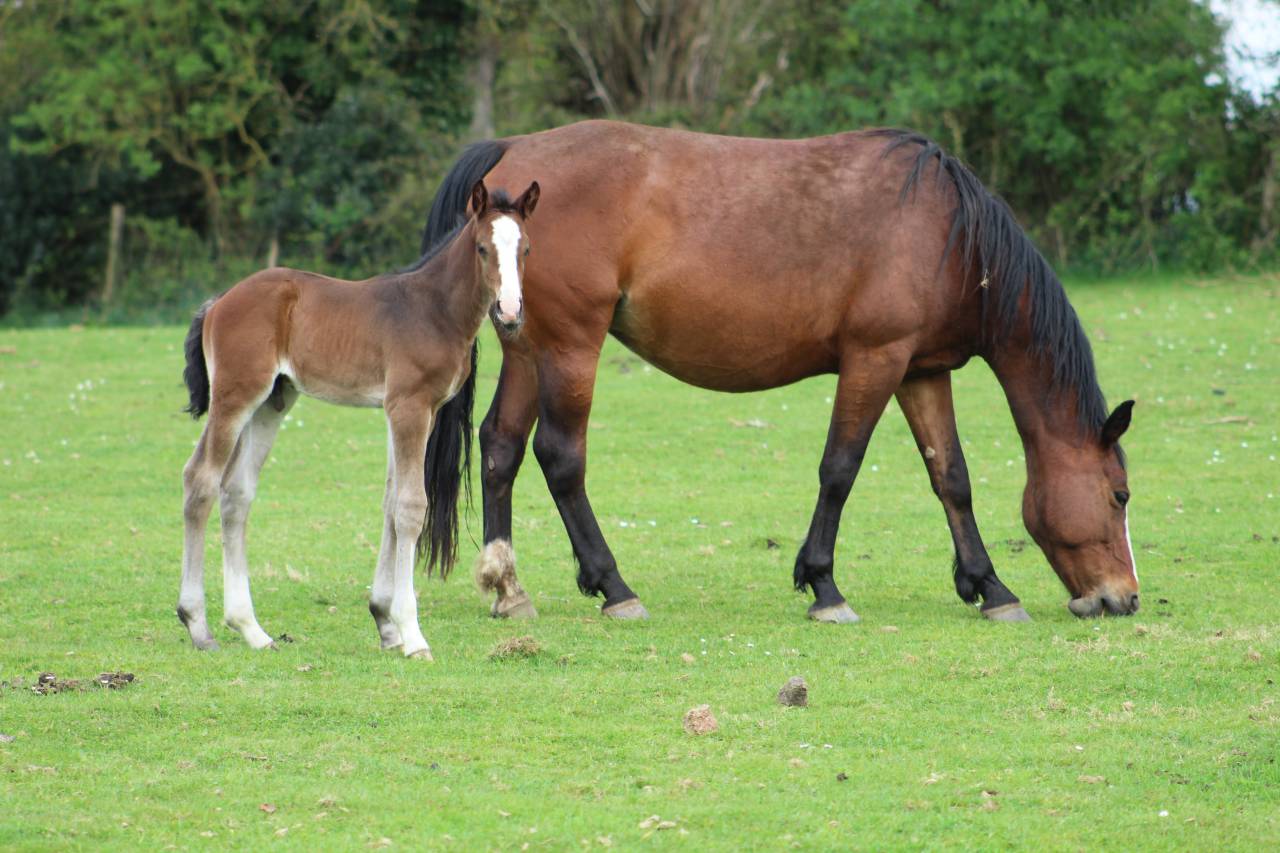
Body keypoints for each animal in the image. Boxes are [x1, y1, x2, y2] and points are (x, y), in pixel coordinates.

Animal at [177, 180, 540, 658]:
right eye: (482, 248)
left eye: (526, 249)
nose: (510, 311)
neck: (434, 309)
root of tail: (220, 301)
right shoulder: (409, 406)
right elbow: (410, 507)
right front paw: (413, 634)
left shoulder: (410, 410)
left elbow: (390, 502)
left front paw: (385, 622)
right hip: (235, 397)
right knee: (200, 480)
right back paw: (198, 624)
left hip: (274, 401)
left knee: (236, 493)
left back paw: (252, 629)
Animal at [421, 121, 1139, 624]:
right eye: (1120, 494)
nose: (1123, 598)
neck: (950, 235)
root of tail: (513, 150)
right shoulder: (874, 360)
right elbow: (840, 469)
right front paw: (824, 585)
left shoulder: (921, 371)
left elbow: (951, 478)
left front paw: (990, 586)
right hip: (572, 347)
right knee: (560, 456)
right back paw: (614, 586)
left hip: (528, 347)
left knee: (501, 448)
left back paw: (508, 590)